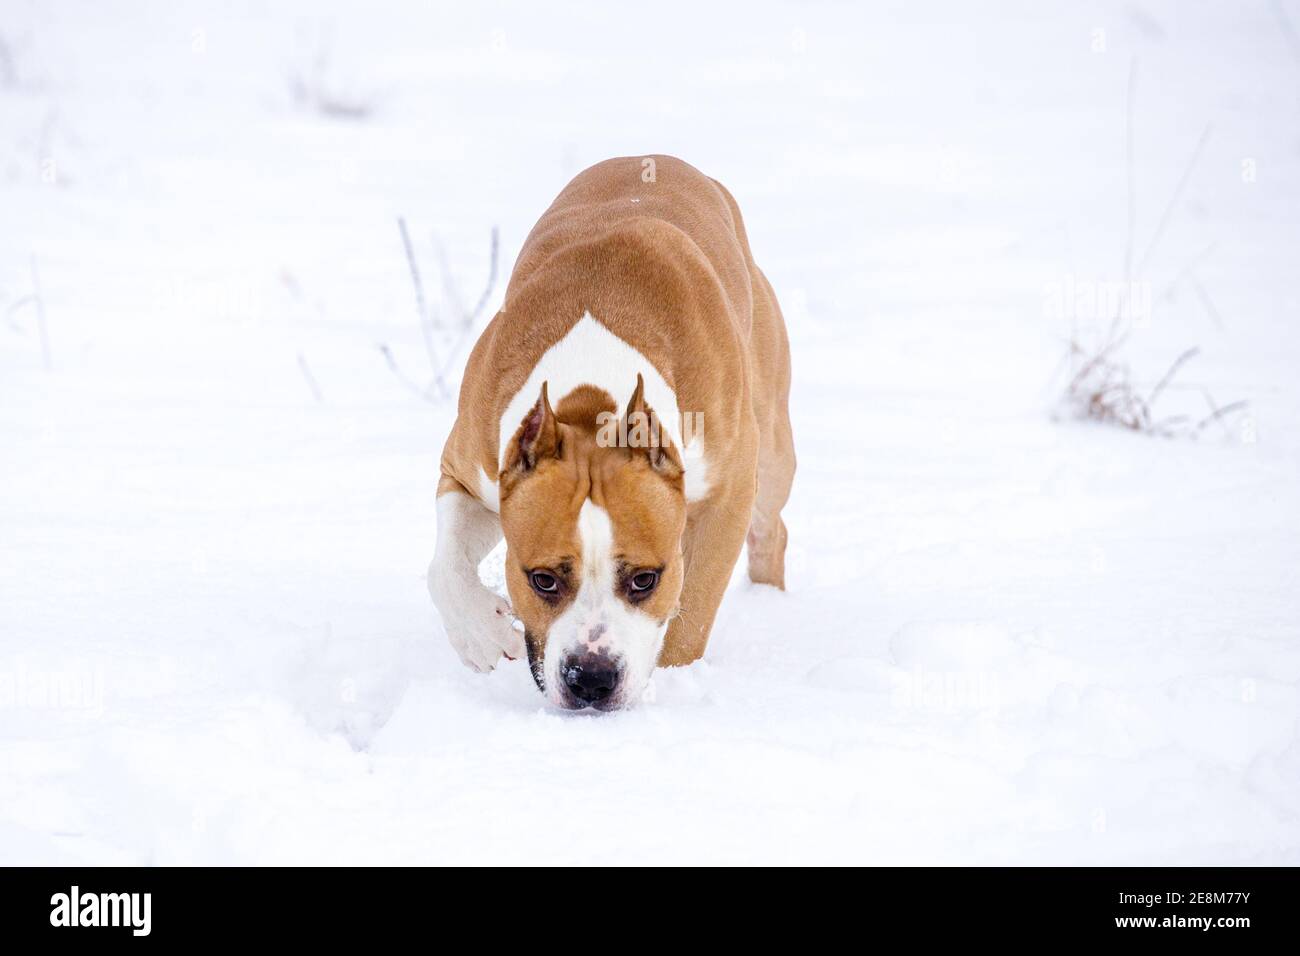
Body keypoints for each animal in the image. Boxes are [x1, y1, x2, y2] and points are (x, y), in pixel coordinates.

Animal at [428, 155, 790, 712]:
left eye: (644, 580)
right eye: (543, 580)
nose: (591, 677)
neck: (591, 403)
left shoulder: (727, 497)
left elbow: (692, 614)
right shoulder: (472, 470)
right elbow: (444, 567)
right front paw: (481, 635)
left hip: (771, 452)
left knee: (771, 527)